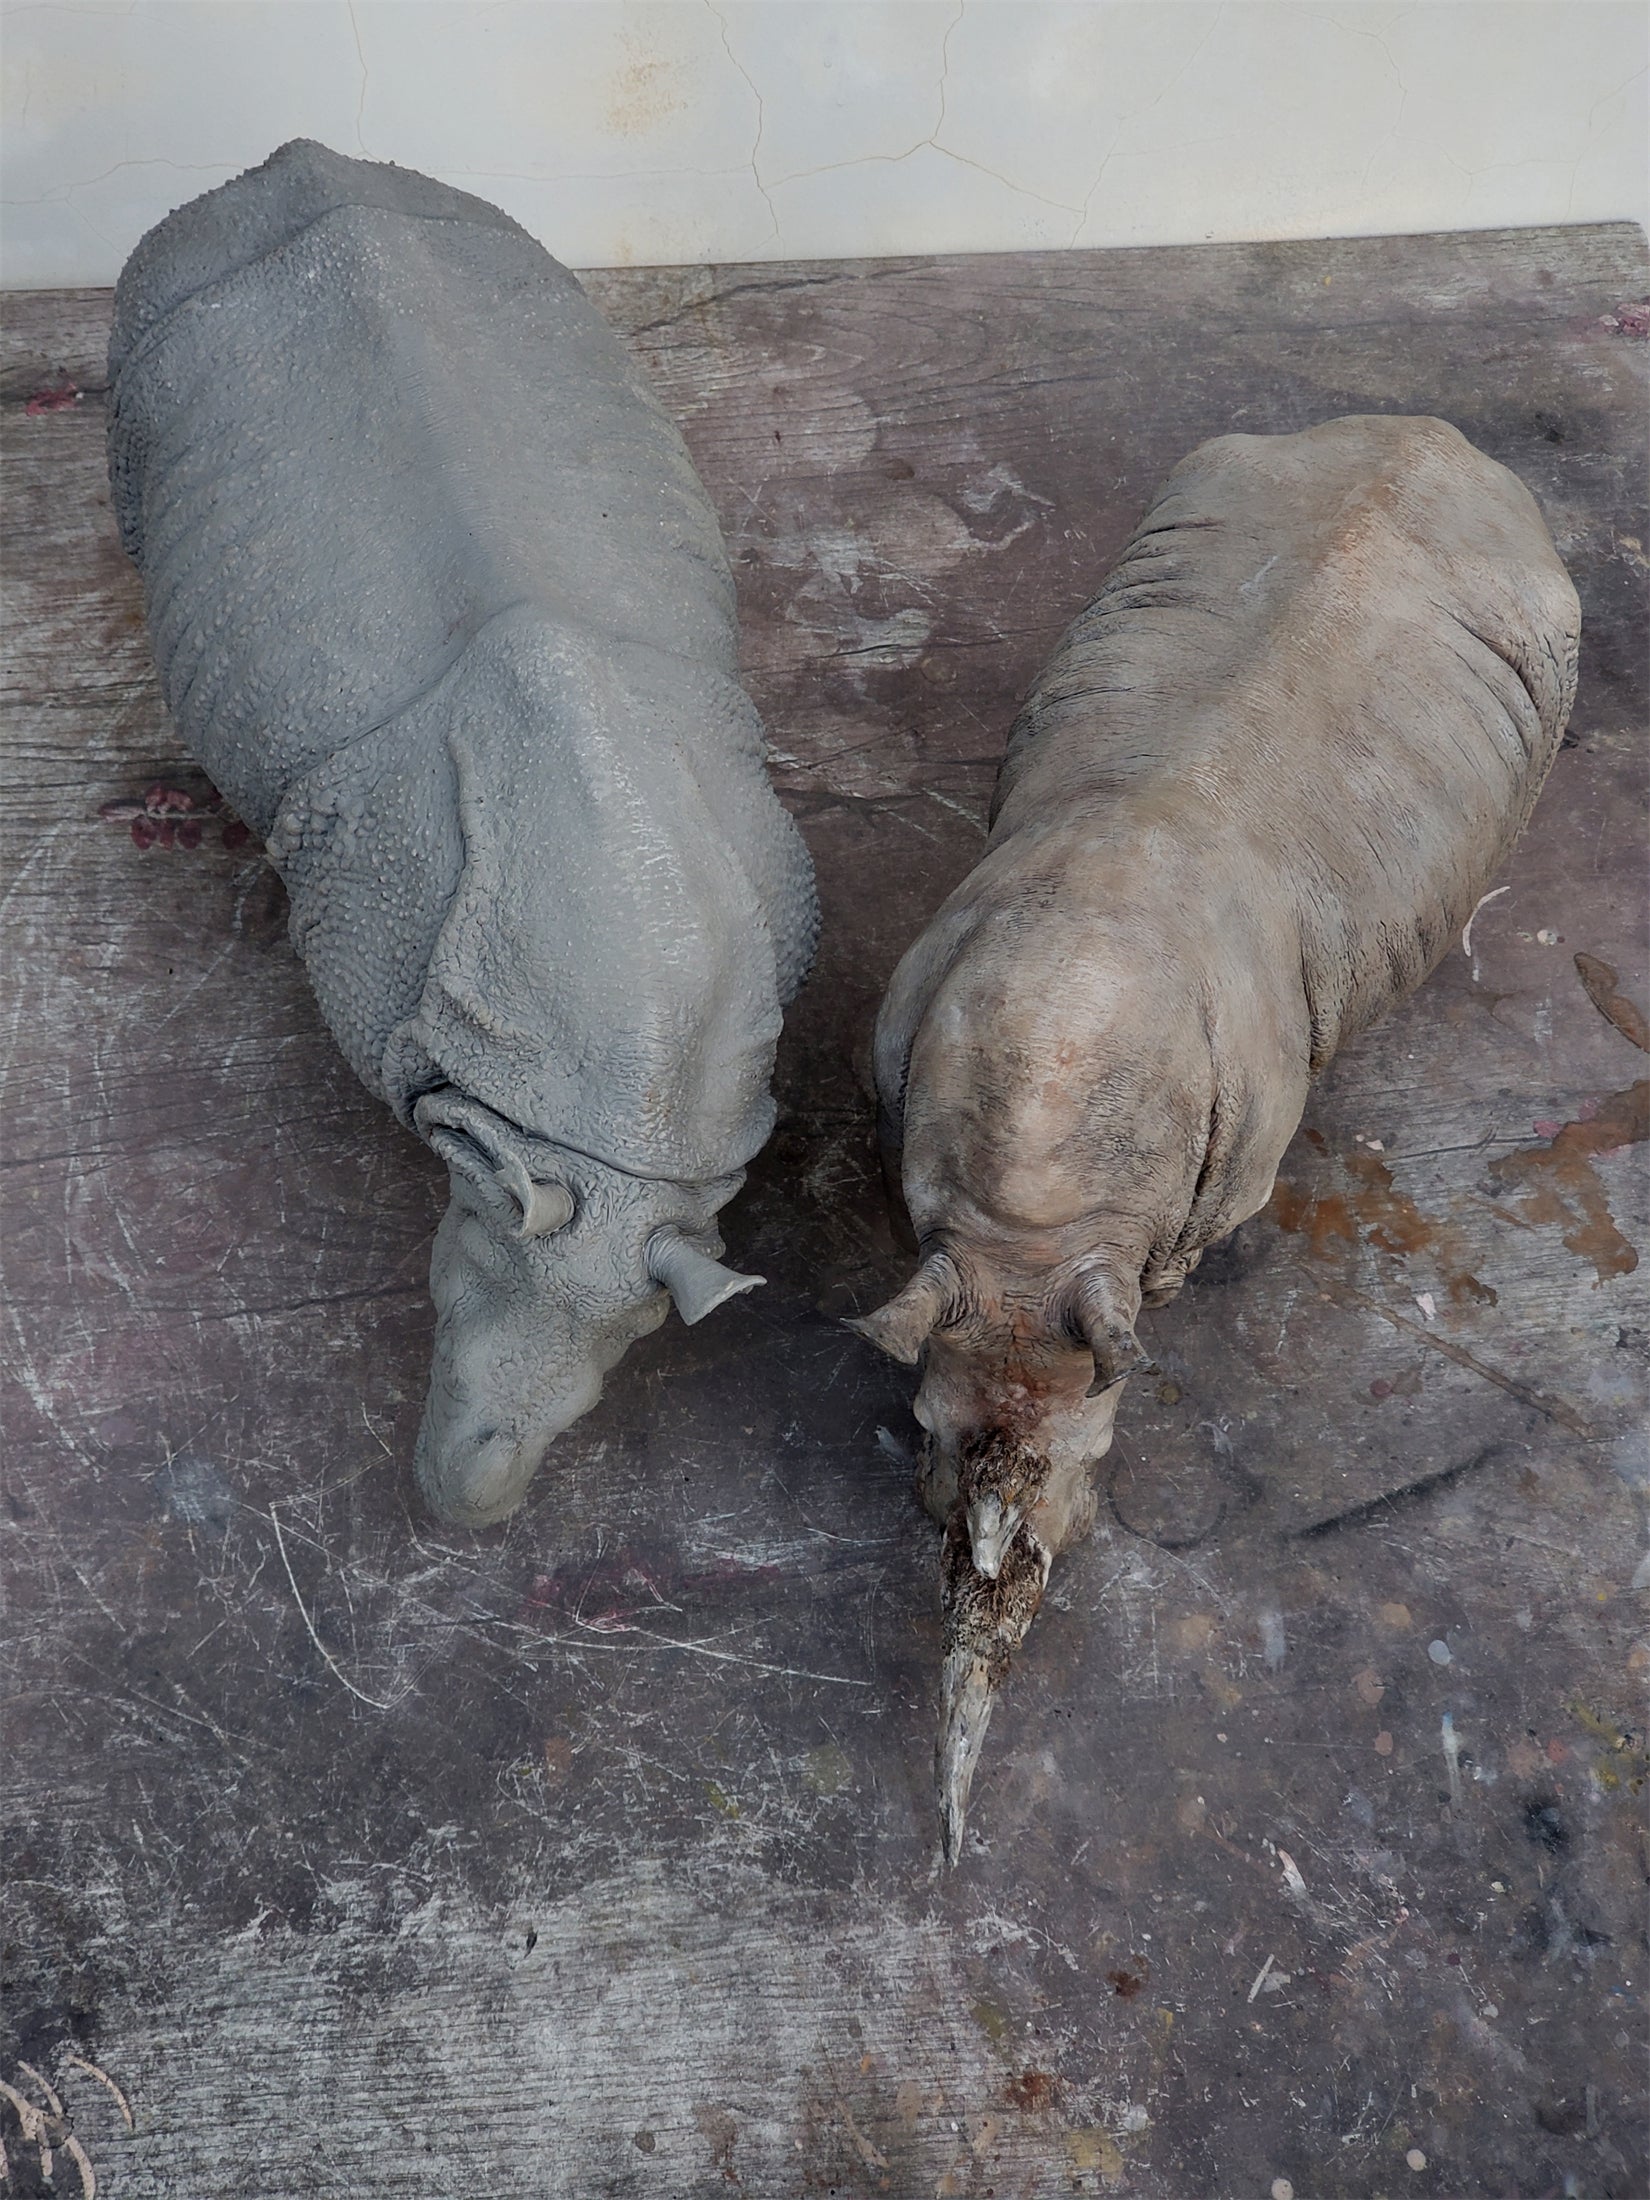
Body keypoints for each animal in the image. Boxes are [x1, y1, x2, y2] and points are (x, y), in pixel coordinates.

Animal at [108, 140, 816, 1528]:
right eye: (447, 1284)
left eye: (627, 1355)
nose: (471, 1499)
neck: (602, 1120)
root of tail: (290, 156)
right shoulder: (369, 938)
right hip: (160, 302)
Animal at [851, 416, 1580, 1858]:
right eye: (925, 1448)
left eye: (1092, 1477)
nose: (953, 1842)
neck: (1035, 1223)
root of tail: (1436, 433)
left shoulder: (1213, 1178)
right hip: (1246, 471)